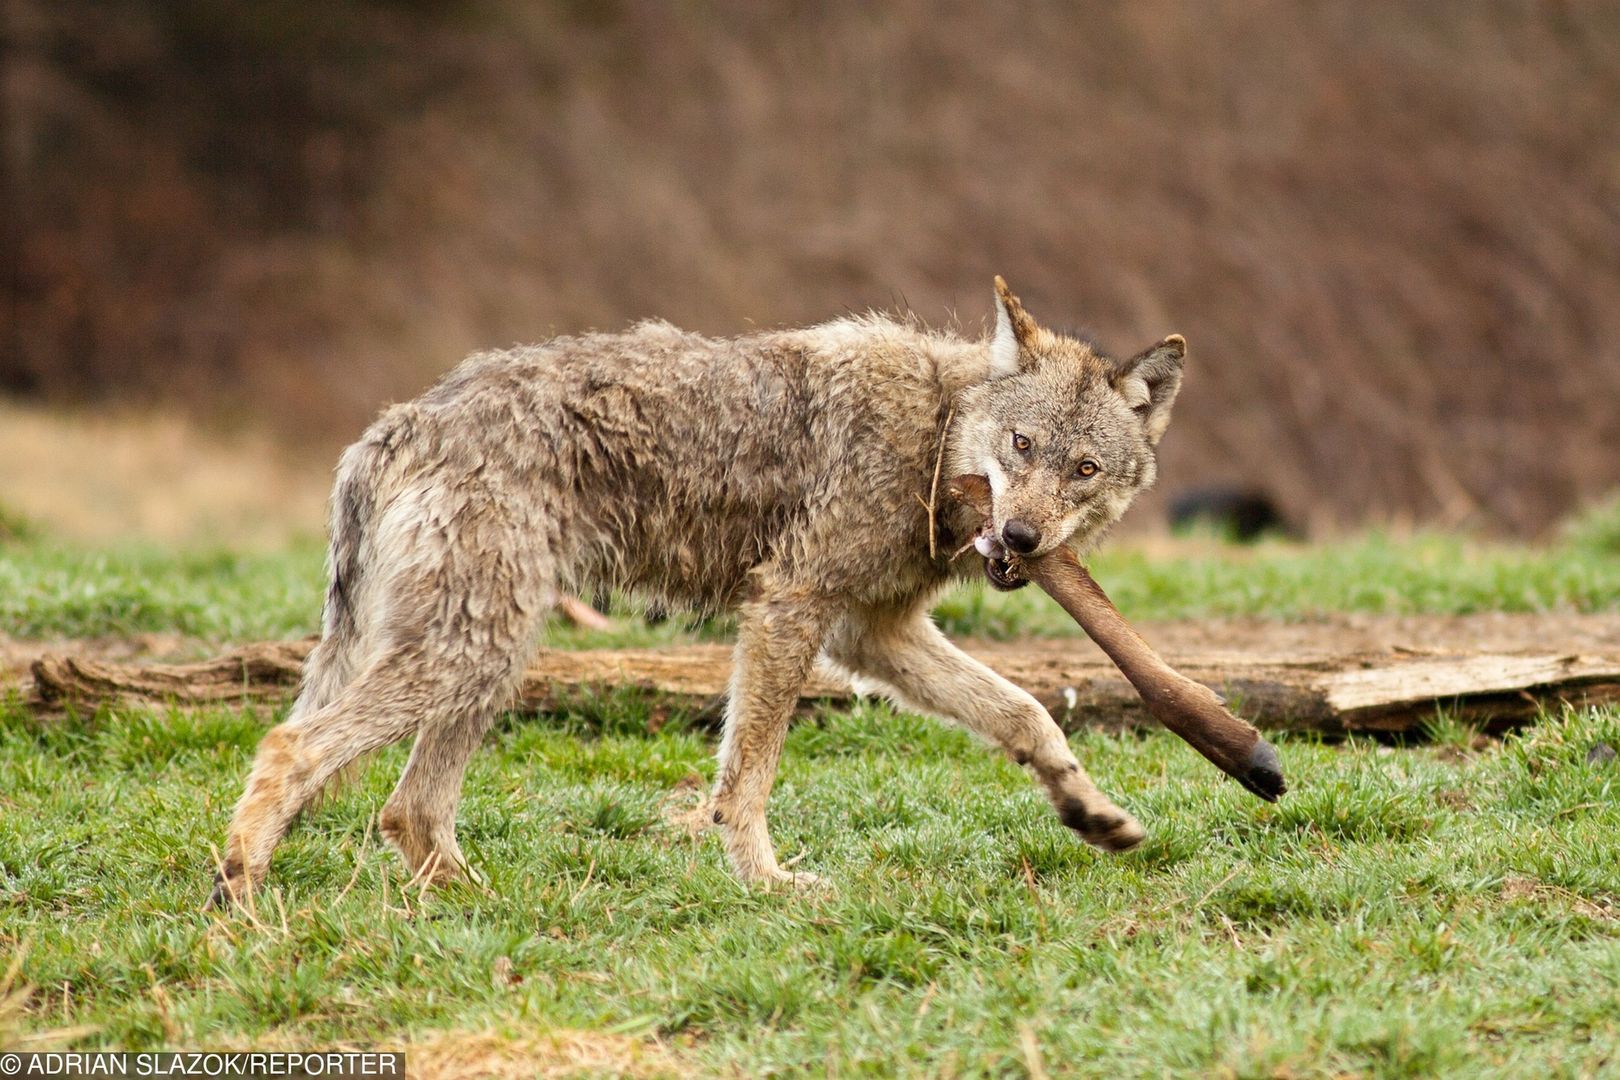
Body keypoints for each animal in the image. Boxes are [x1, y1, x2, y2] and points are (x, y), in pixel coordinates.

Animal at [205, 276, 1192, 906]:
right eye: (1022, 446)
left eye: (1084, 469)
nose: (1023, 539)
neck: (933, 432)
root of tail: (399, 421)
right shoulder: (790, 611)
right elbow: (745, 780)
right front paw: (767, 885)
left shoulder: (871, 638)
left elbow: (1028, 713)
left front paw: (1091, 813)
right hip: (471, 652)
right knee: (290, 746)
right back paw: (243, 903)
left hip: (489, 659)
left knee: (407, 810)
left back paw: (485, 909)